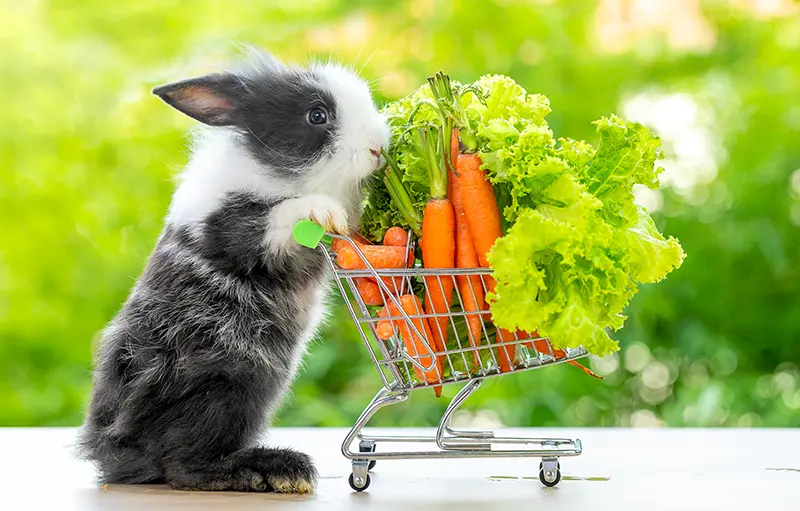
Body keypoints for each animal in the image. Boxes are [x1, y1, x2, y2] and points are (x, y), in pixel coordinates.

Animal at [76, 46, 390, 494]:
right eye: (316, 115)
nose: (379, 147)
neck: (277, 173)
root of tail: (112, 450)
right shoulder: (232, 231)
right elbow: (278, 217)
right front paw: (323, 212)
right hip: (227, 386)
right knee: (182, 465)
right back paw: (276, 470)